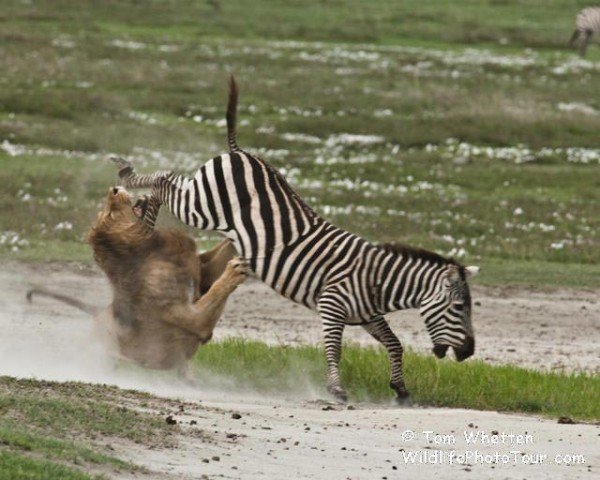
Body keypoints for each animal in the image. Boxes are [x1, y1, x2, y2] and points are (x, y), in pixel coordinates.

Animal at [28, 186, 244, 376]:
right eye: (110, 214)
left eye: (107, 209)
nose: (114, 189)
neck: (151, 248)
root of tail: (97, 314)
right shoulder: (192, 319)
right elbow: (216, 291)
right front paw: (236, 269)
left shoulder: (203, 271)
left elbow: (228, 244)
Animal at [111, 78, 478, 402]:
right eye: (459, 308)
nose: (469, 352)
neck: (377, 280)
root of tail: (240, 151)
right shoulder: (332, 305)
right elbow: (335, 348)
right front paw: (336, 389)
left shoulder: (368, 315)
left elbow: (394, 344)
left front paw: (400, 389)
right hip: (202, 206)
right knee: (164, 181)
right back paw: (132, 187)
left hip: (201, 197)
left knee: (168, 182)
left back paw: (142, 211)